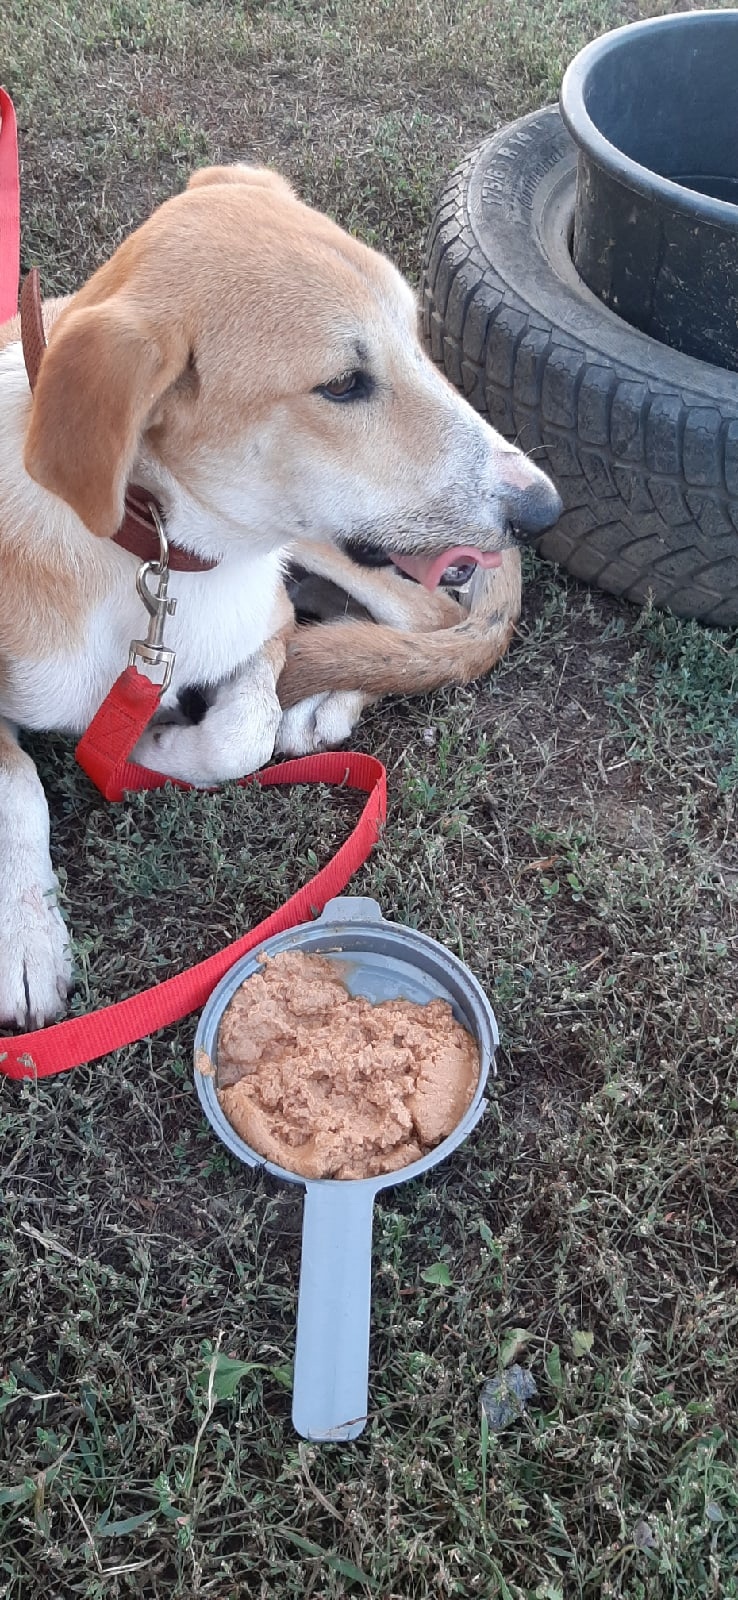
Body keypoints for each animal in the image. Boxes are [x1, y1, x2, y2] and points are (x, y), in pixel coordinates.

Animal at [0, 162, 557, 1030]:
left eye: (416, 336)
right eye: (343, 384)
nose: (544, 507)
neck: (160, 558)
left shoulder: (267, 622)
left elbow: (245, 734)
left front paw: (155, 751)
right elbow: (17, 788)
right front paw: (27, 938)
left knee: (423, 618)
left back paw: (328, 703)